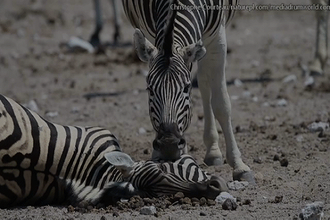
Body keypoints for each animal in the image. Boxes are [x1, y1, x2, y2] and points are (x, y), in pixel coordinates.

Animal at [122, 0, 254, 182]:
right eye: (150, 89)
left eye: (186, 88)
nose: (169, 145)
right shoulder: (150, 32)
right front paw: (164, 155)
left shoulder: (217, 38)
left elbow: (222, 105)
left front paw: (238, 165)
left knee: (205, 83)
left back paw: (212, 151)